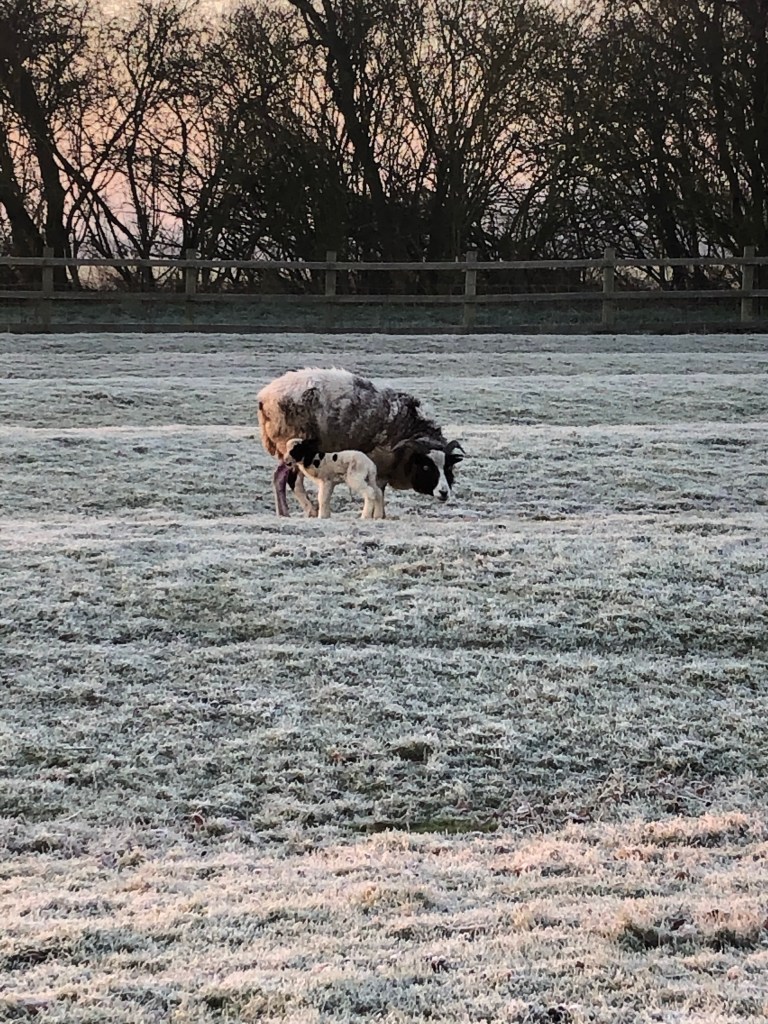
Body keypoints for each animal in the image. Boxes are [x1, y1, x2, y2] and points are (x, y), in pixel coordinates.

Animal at [257, 367, 464, 517]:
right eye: (427, 467)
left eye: (448, 468)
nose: (444, 493)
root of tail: (264, 397)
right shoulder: (379, 461)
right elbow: (378, 490)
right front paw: (378, 515)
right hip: (291, 447)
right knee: (286, 479)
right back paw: (303, 511)